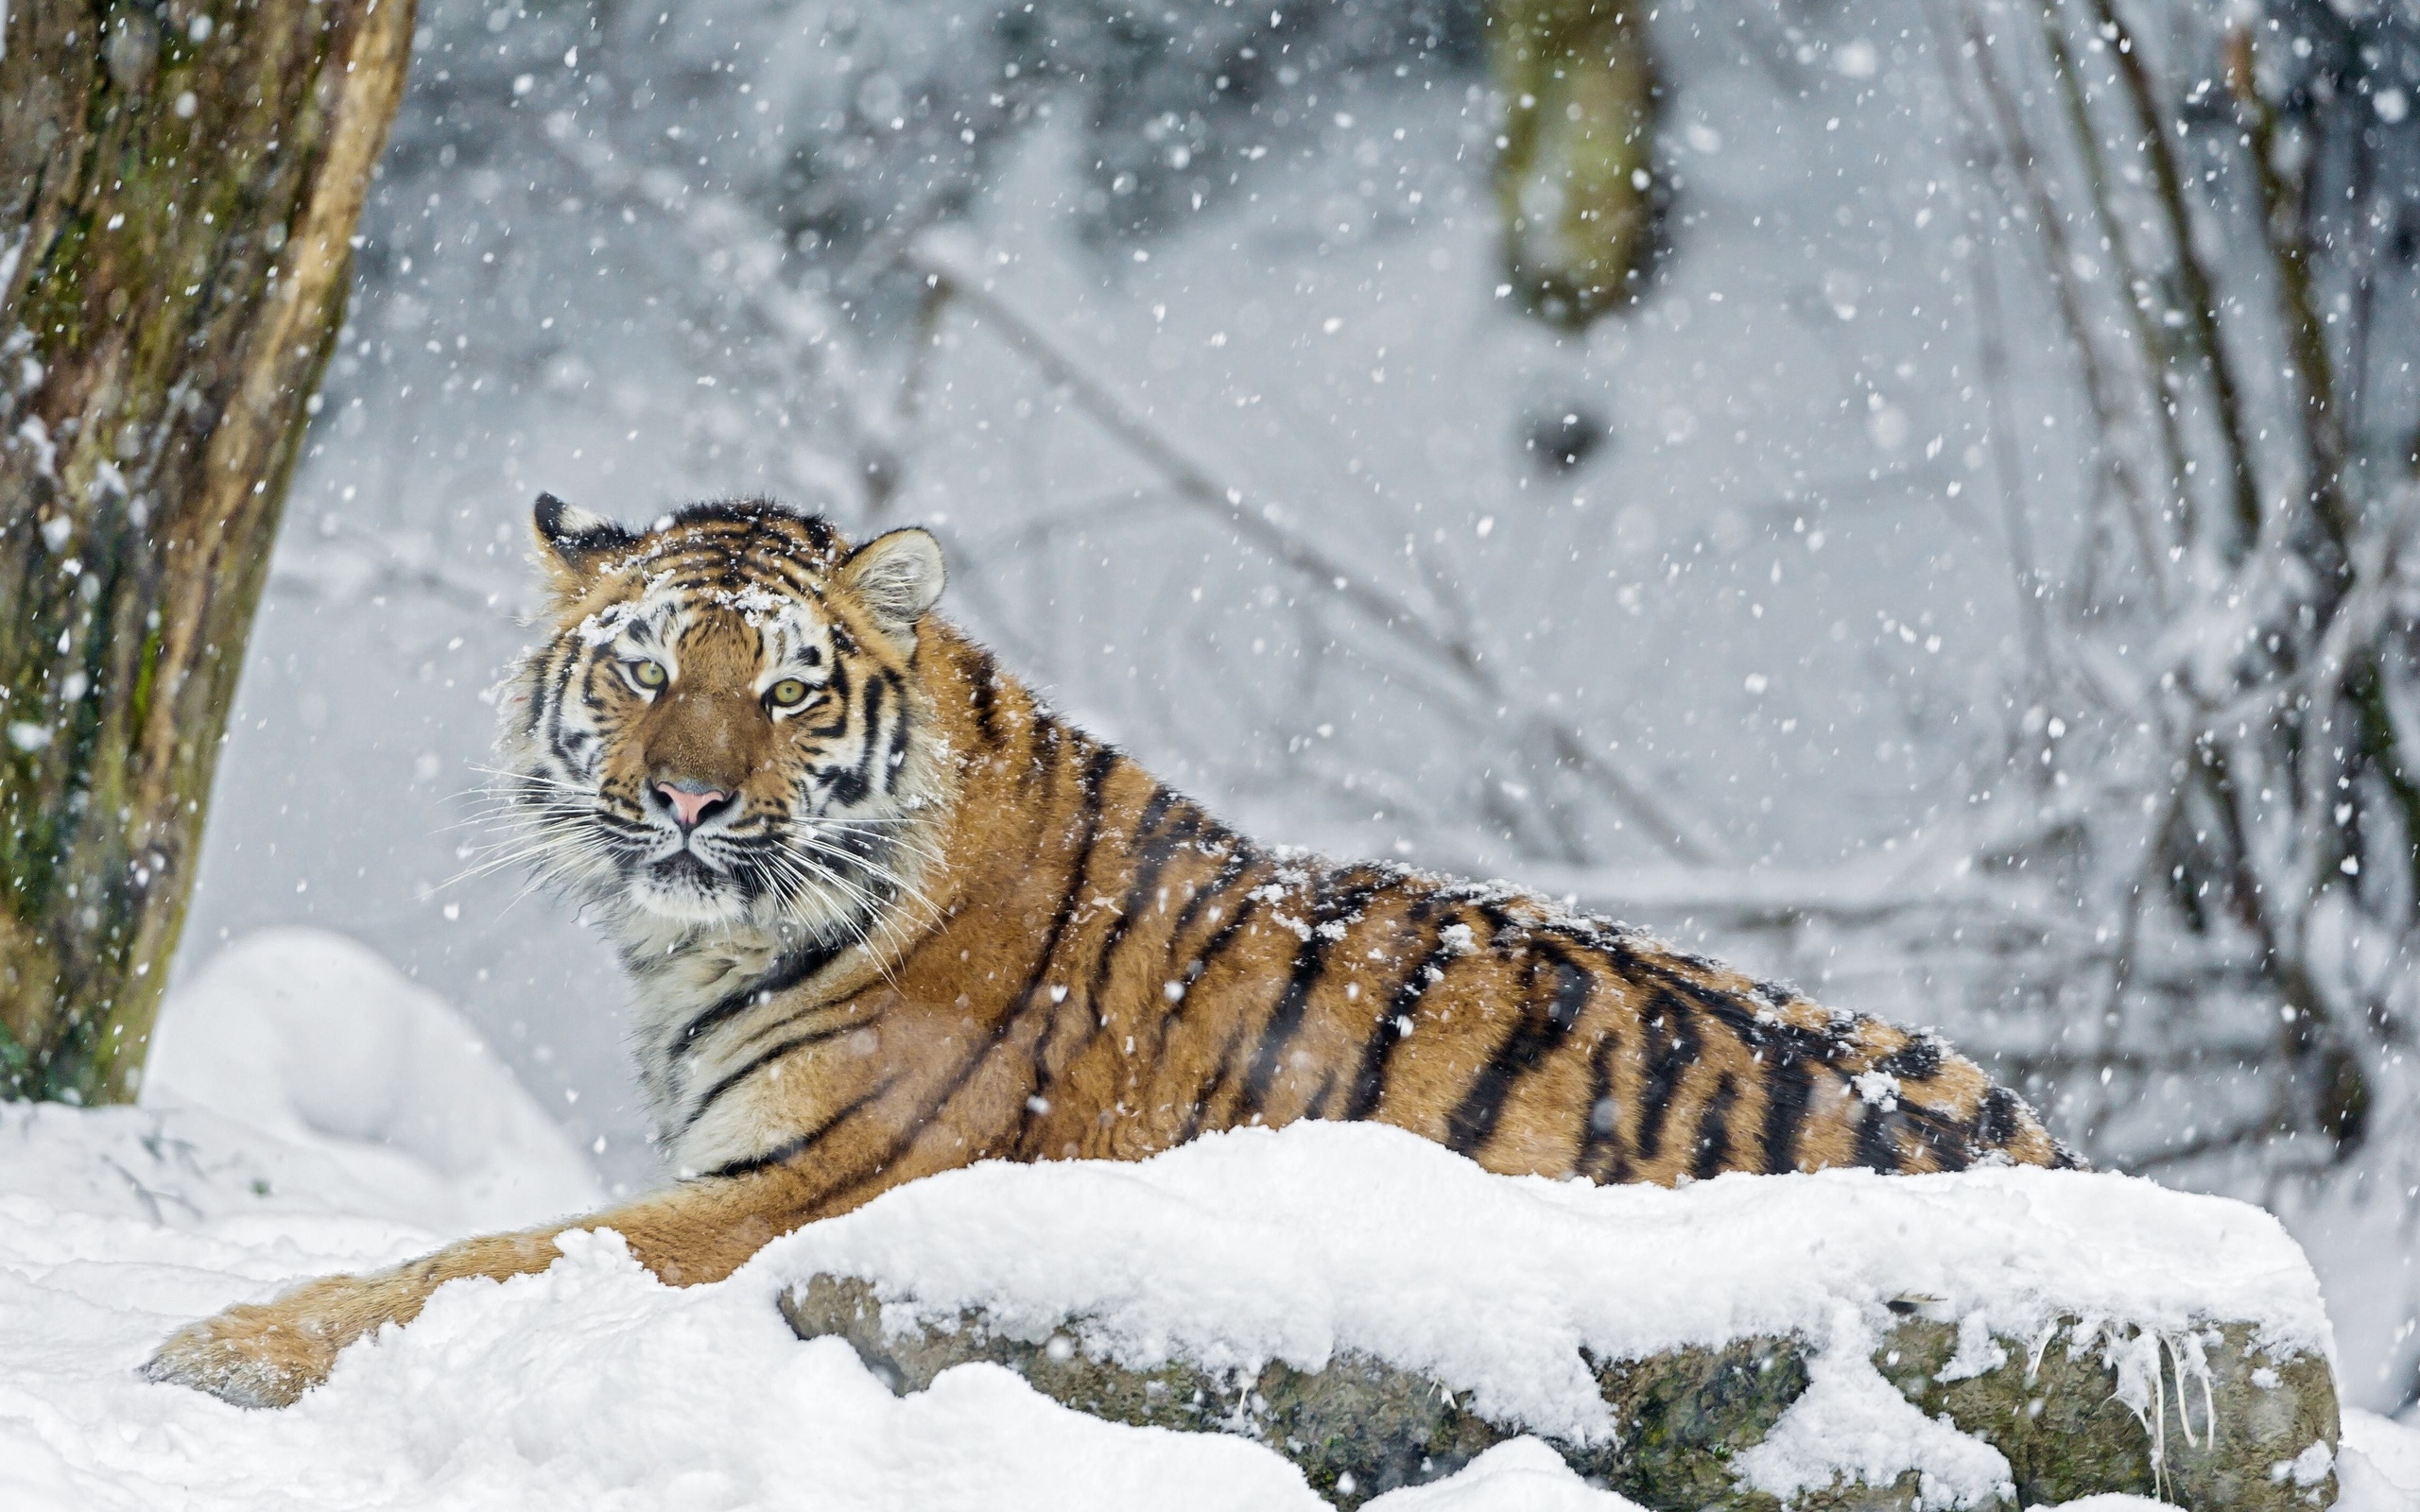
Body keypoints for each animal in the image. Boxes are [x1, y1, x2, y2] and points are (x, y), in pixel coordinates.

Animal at [141, 493, 2071, 1402]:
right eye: (640, 672)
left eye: (784, 690)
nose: (686, 799)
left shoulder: (796, 1197)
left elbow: (467, 1262)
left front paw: (207, 1350)